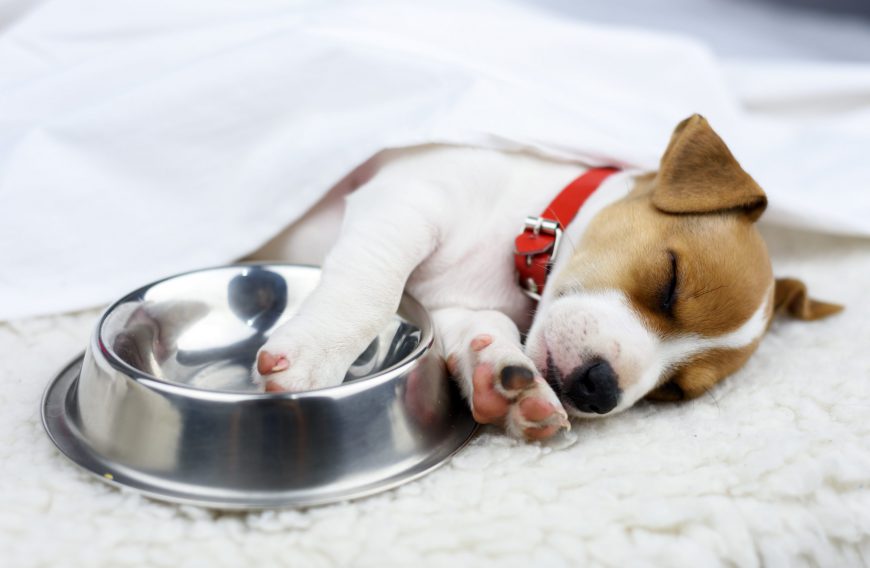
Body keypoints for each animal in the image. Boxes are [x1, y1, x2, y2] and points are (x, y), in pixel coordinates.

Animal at [249, 115, 840, 442]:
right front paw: (314, 360)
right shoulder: (407, 201)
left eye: (673, 392)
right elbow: (371, 291)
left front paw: (505, 379)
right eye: (670, 281)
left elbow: (482, 329)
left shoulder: (449, 309)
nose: (600, 389)